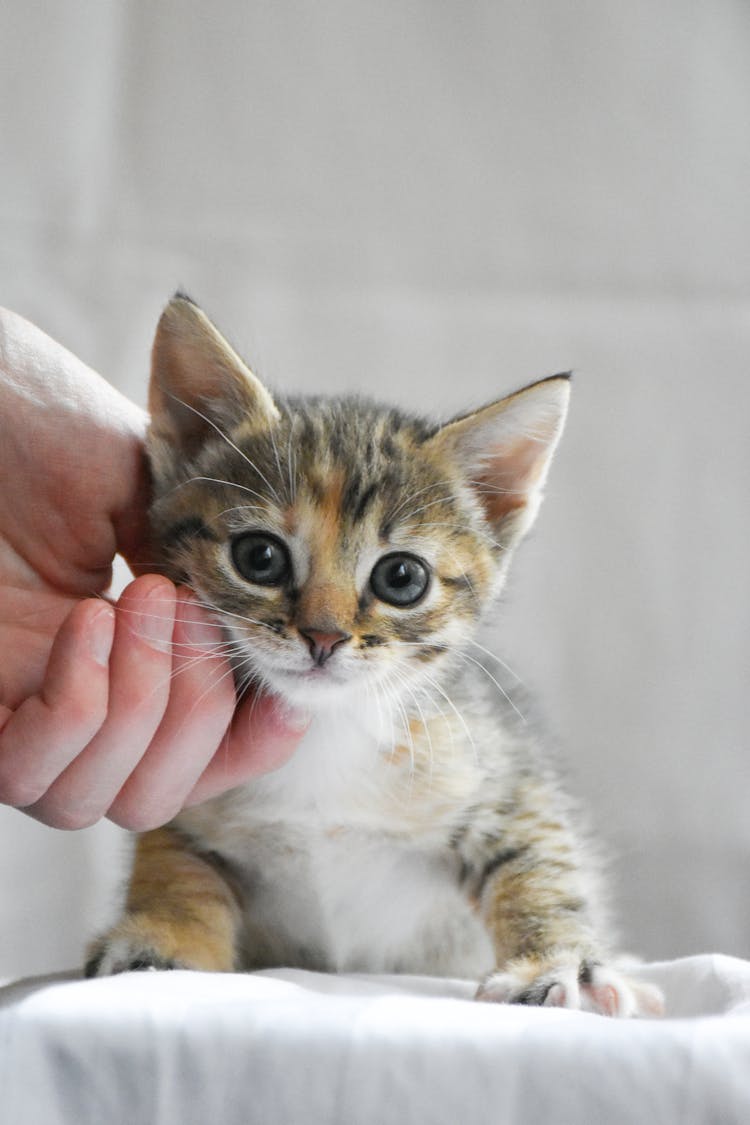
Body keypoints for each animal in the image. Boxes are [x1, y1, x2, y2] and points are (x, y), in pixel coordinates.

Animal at [86, 294, 661, 1017]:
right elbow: (174, 865)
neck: (327, 734)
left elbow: (541, 867)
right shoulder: (185, 802)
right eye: (259, 557)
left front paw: (558, 962)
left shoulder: (504, 774)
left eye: (401, 577)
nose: (323, 636)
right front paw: (162, 942)